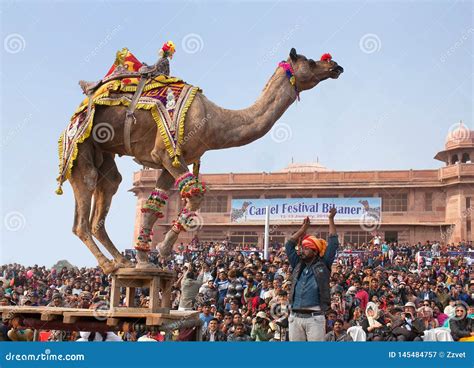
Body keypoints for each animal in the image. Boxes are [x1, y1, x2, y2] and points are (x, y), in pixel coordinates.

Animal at [66, 48, 342, 274]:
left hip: (103, 152)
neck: (214, 120)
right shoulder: (166, 153)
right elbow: (195, 194)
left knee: (109, 186)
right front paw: (161, 251)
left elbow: (155, 204)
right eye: (310, 61)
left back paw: (122, 261)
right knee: (84, 206)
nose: (335, 65)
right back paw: (109, 265)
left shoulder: (171, 160)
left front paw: (145, 260)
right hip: (81, 148)